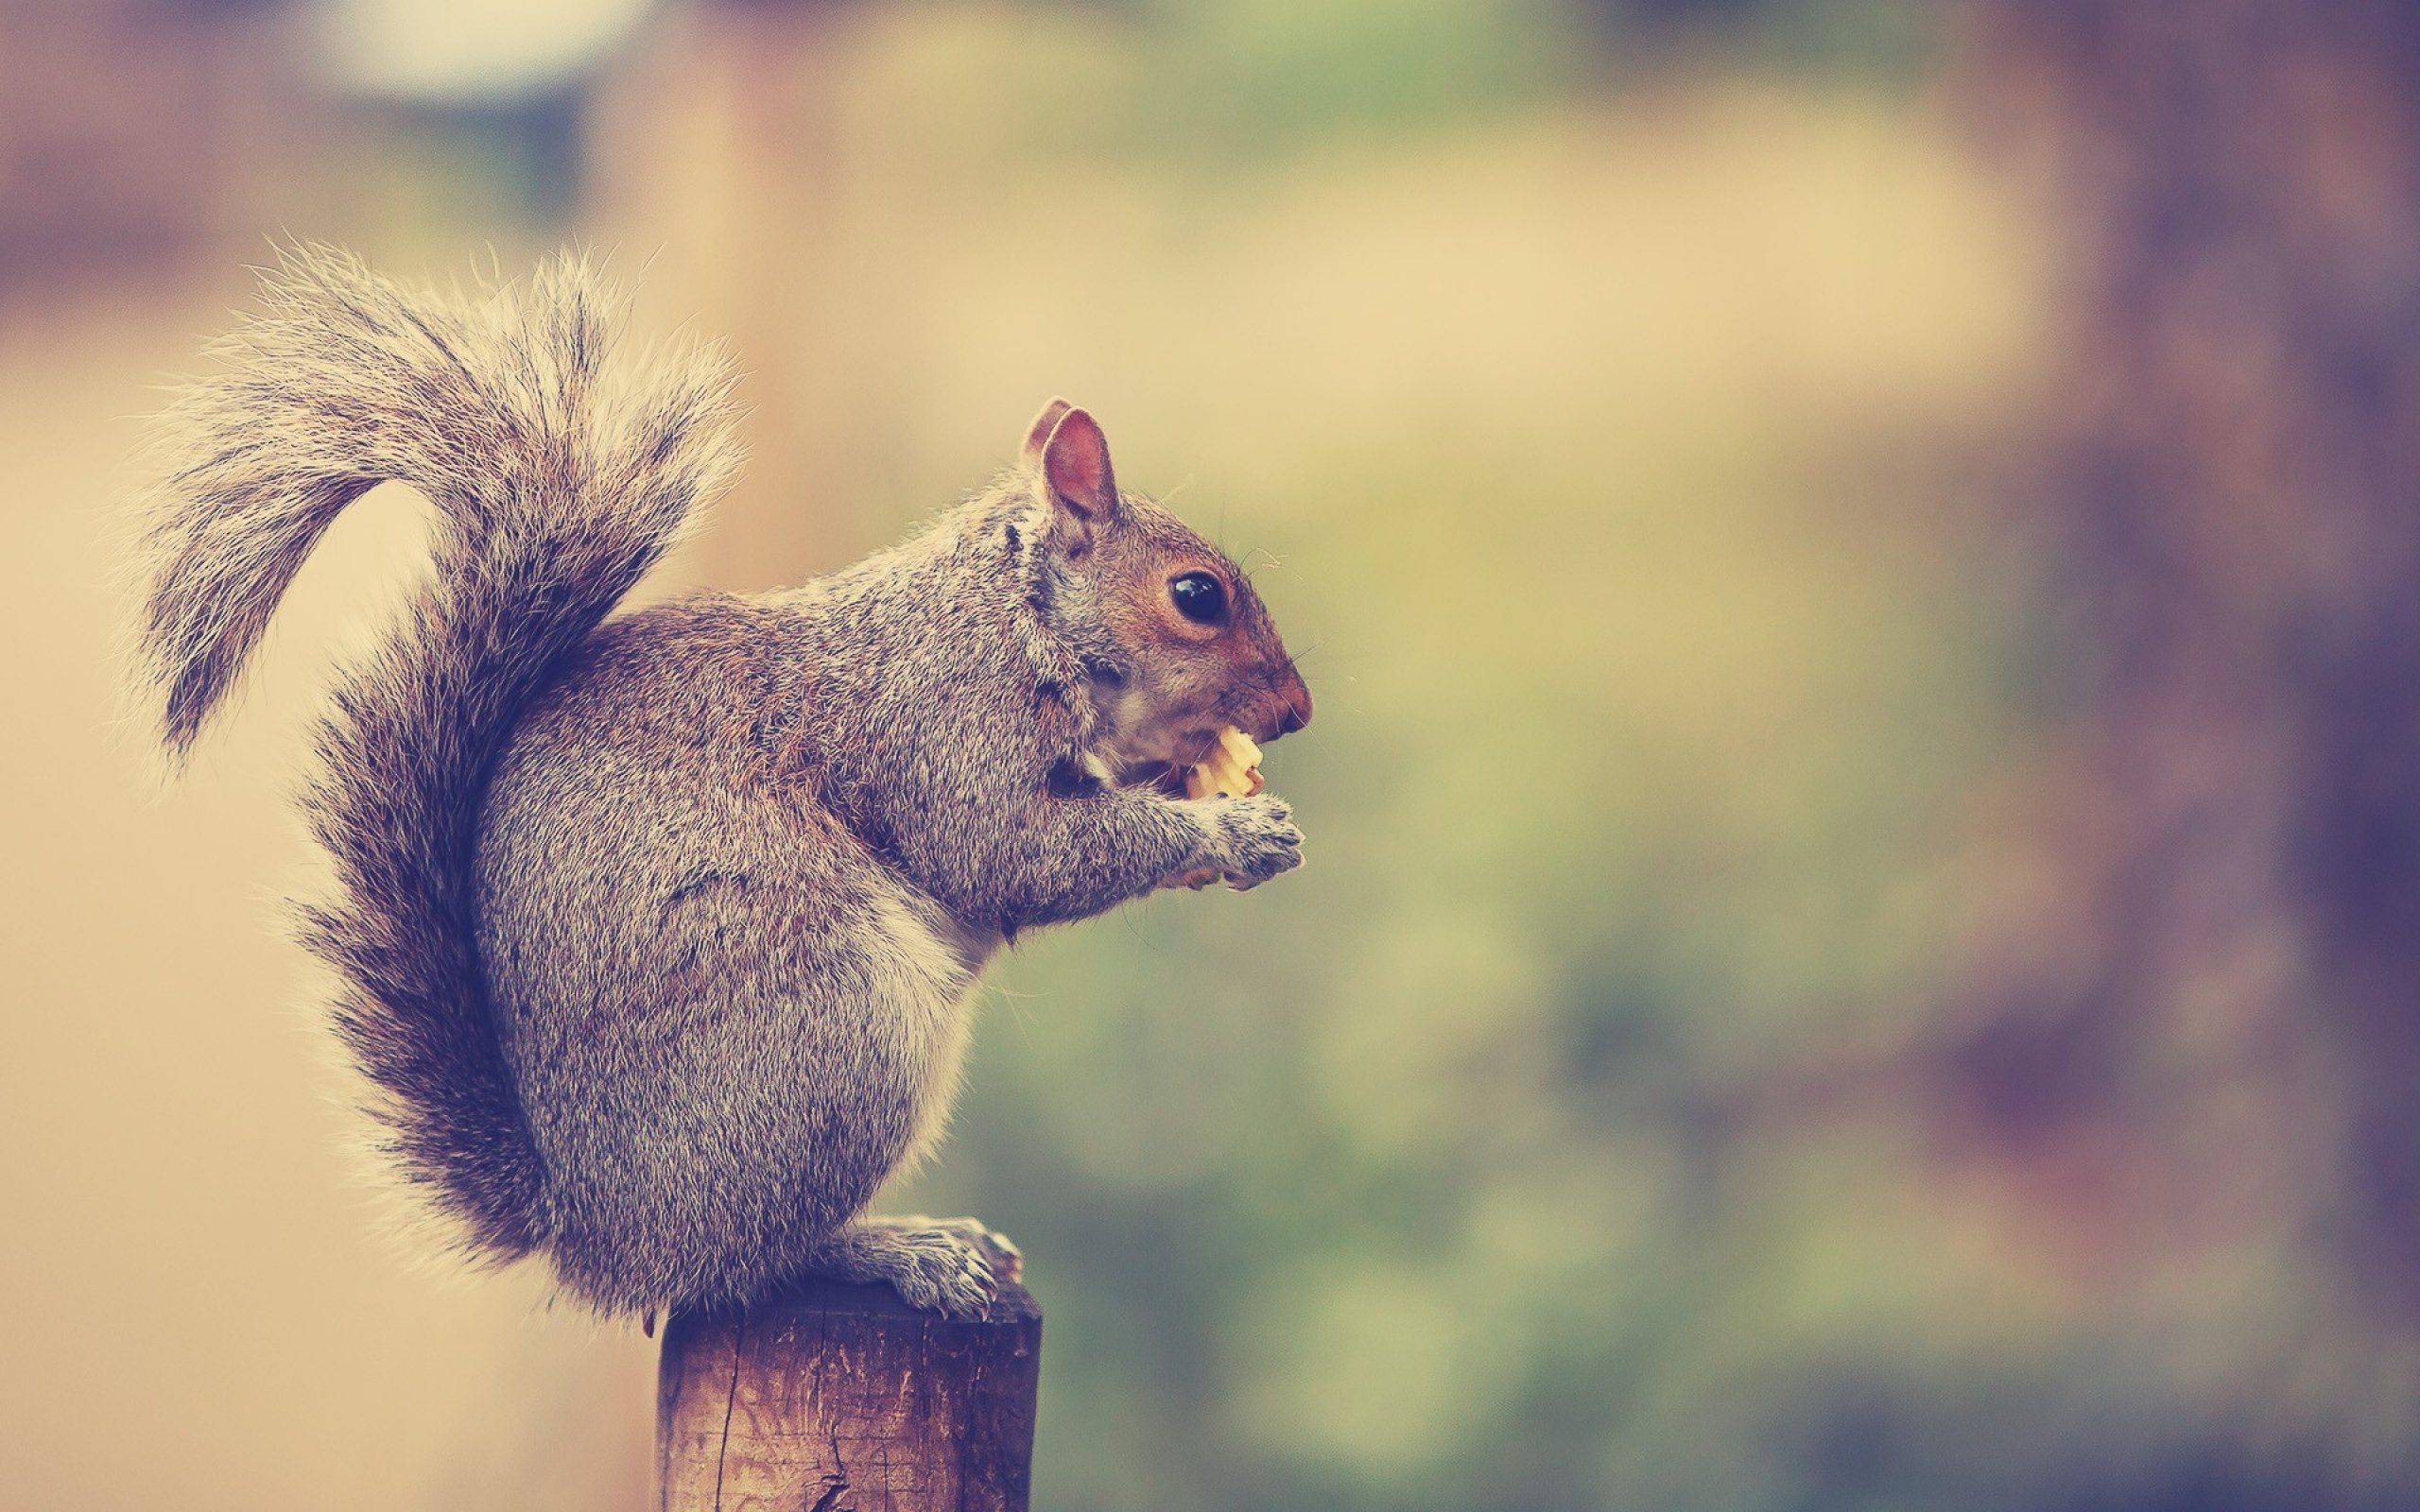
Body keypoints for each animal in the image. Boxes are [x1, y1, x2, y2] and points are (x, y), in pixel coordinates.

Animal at [126, 247, 1312, 1320]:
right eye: (1196, 596)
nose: (1298, 710)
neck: (1009, 610)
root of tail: (591, 1234)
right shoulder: (942, 725)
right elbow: (1012, 854)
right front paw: (1237, 835)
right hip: (829, 1032)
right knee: (744, 1265)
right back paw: (901, 1249)